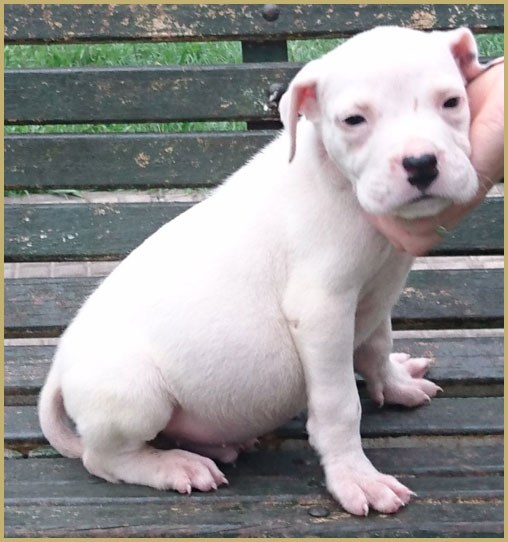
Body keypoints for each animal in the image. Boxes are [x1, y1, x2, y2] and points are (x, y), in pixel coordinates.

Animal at [38, 26, 484, 520]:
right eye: (353, 120)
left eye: (451, 102)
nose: (421, 163)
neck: (339, 182)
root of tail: (58, 370)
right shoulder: (323, 310)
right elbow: (340, 404)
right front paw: (356, 479)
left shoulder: (373, 294)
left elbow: (376, 343)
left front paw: (395, 383)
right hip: (134, 392)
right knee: (104, 458)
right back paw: (174, 466)